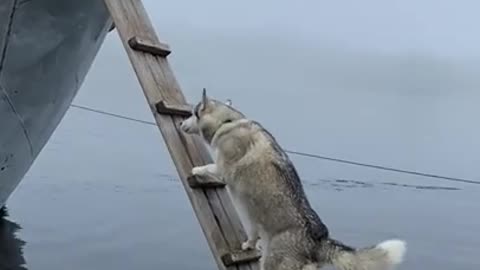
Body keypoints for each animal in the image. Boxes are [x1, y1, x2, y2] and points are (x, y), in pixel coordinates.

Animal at [179, 89, 404, 268]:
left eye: (192, 113)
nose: (181, 122)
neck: (228, 122)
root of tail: (318, 239)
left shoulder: (223, 169)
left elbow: (208, 167)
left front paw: (196, 170)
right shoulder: (251, 216)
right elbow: (251, 234)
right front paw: (248, 245)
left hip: (273, 263)